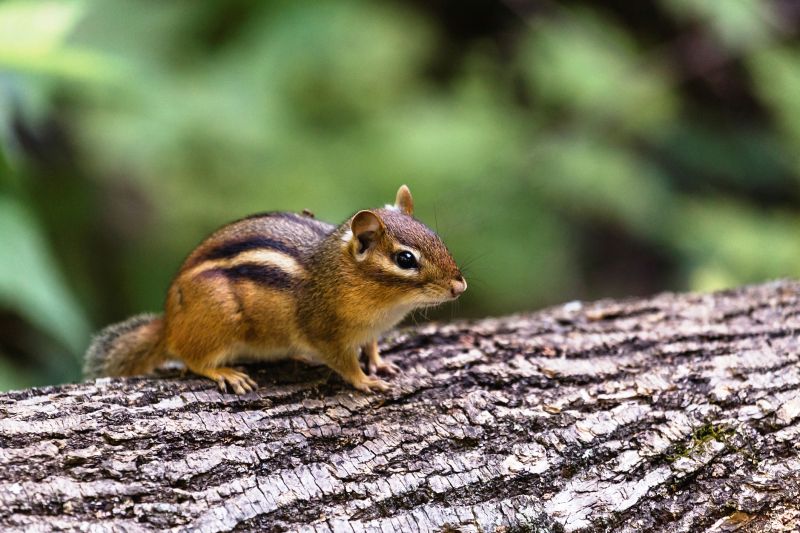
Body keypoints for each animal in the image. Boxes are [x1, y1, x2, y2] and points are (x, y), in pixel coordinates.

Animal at [84, 185, 466, 394]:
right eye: (405, 259)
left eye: (436, 237)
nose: (460, 285)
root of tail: (168, 321)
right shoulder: (324, 332)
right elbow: (344, 363)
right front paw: (364, 381)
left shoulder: (372, 329)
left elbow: (371, 345)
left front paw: (379, 362)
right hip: (218, 318)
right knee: (192, 357)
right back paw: (225, 372)